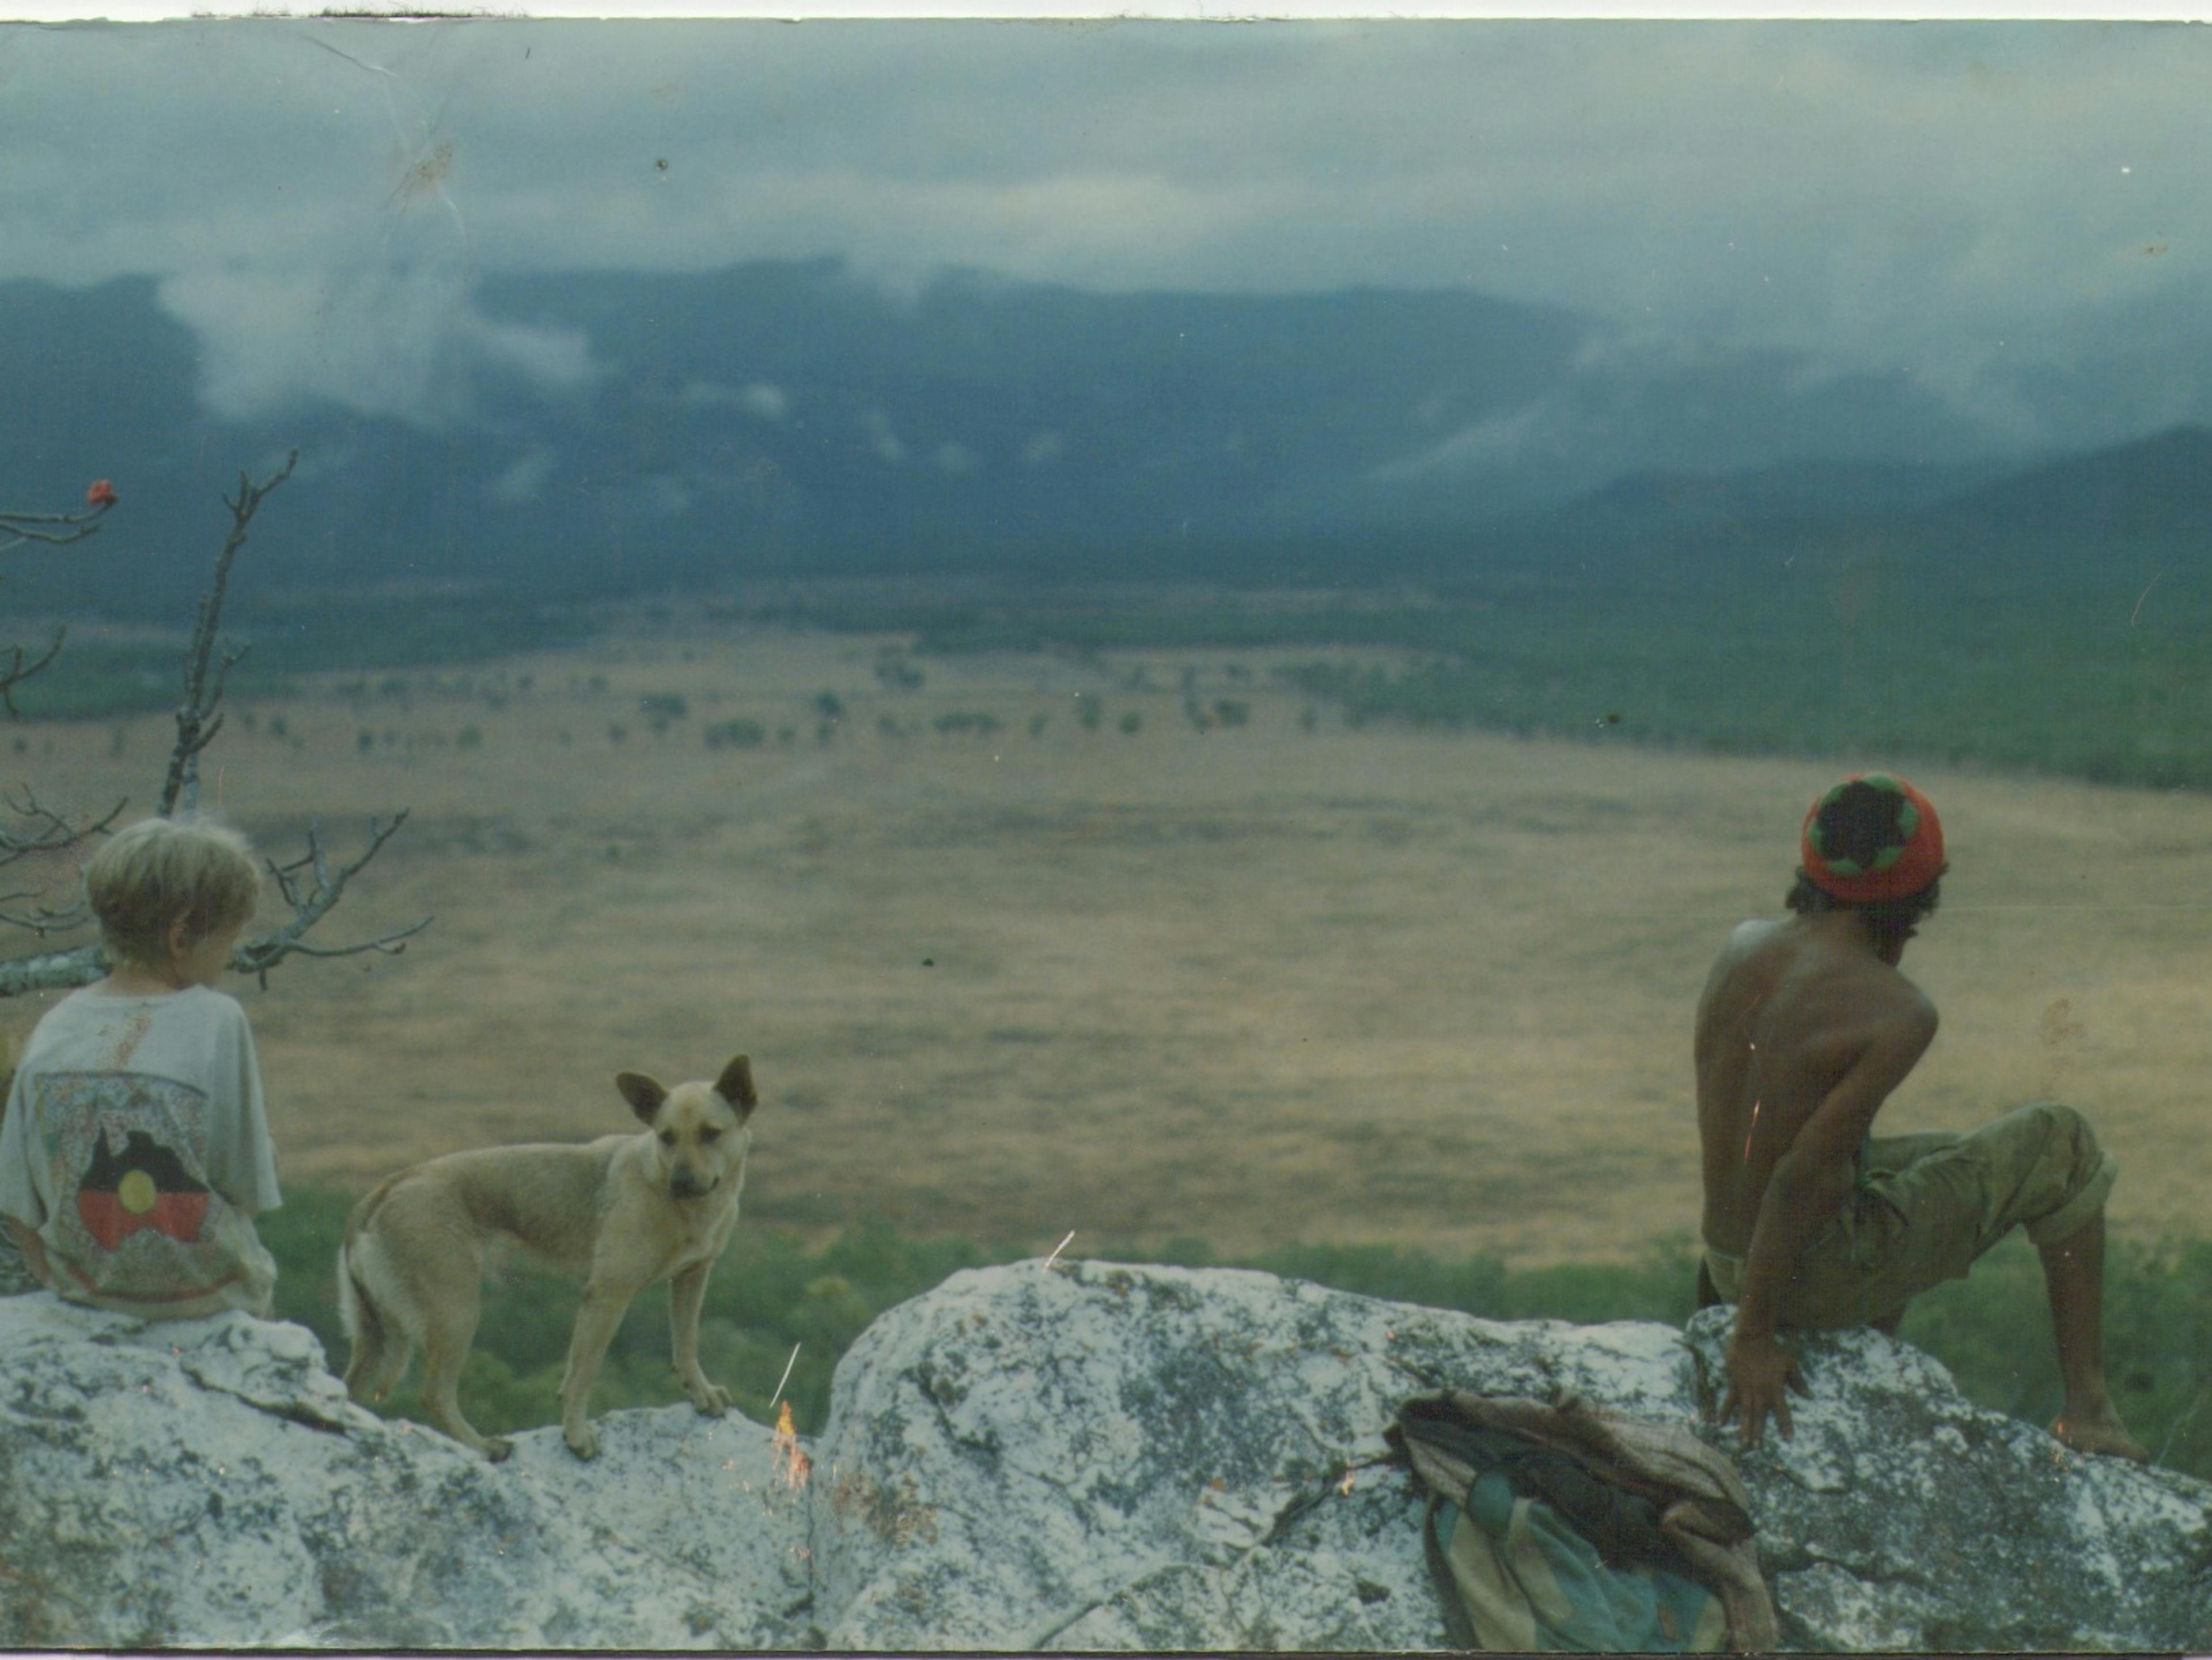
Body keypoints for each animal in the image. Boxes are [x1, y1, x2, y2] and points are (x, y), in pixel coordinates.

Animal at [336, 1058, 760, 1461]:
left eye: (710, 1133)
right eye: (666, 1136)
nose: (682, 1183)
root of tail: (381, 1192)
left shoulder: (692, 1277)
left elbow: (686, 1345)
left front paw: (700, 1392)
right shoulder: (608, 1296)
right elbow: (583, 1374)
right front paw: (576, 1435)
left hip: (379, 1335)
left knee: (351, 1388)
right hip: (455, 1312)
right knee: (435, 1394)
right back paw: (483, 1446)